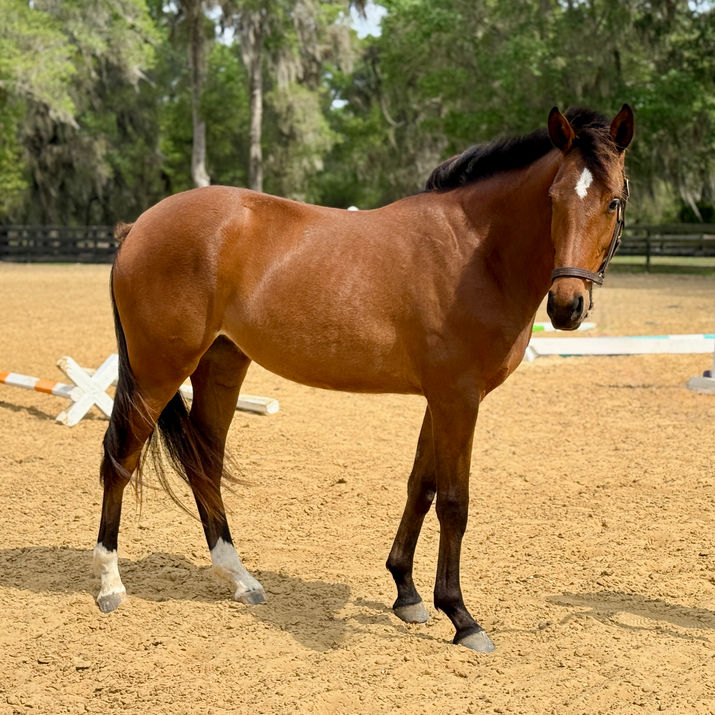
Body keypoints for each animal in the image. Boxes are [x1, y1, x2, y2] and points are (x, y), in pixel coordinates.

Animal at [94, 105, 634, 652]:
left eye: (612, 201)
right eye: (553, 199)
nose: (567, 307)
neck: (476, 254)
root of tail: (138, 226)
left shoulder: (441, 398)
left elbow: (421, 487)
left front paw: (407, 594)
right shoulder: (459, 398)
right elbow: (454, 502)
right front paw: (461, 617)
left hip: (222, 364)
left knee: (204, 463)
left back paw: (241, 579)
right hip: (159, 371)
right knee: (121, 457)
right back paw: (111, 584)